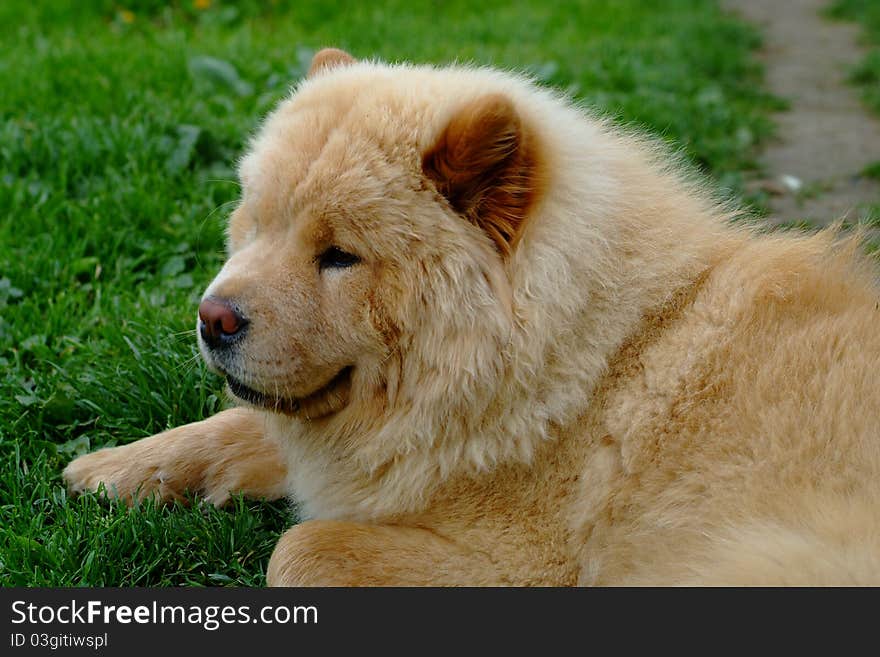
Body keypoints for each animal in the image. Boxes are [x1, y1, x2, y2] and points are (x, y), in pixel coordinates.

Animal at [65, 50, 880, 584]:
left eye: (339, 256)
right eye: (256, 226)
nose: (214, 319)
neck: (588, 360)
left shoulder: (522, 559)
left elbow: (299, 549)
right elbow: (235, 425)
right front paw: (107, 469)